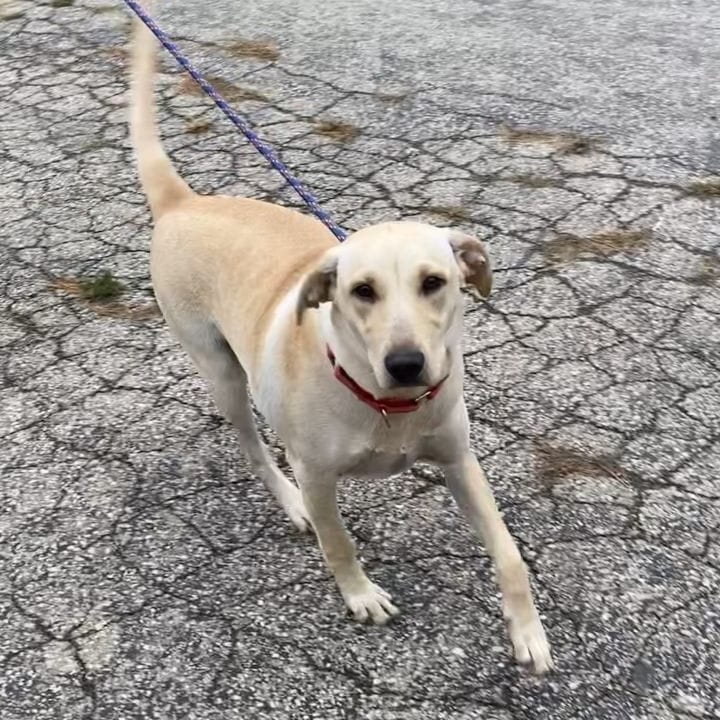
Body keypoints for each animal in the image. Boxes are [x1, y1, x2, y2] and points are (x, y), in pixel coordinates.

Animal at [129, 12, 556, 676]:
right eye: (361, 291)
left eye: (434, 283)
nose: (406, 364)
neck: (389, 407)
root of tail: (185, 203)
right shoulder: (319, 475)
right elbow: (339, 542)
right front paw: (360, 595)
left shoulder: (460, 461)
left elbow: (509, 552)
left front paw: (528, 630)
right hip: (222, 375)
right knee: (256, 450)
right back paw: (288, 502)